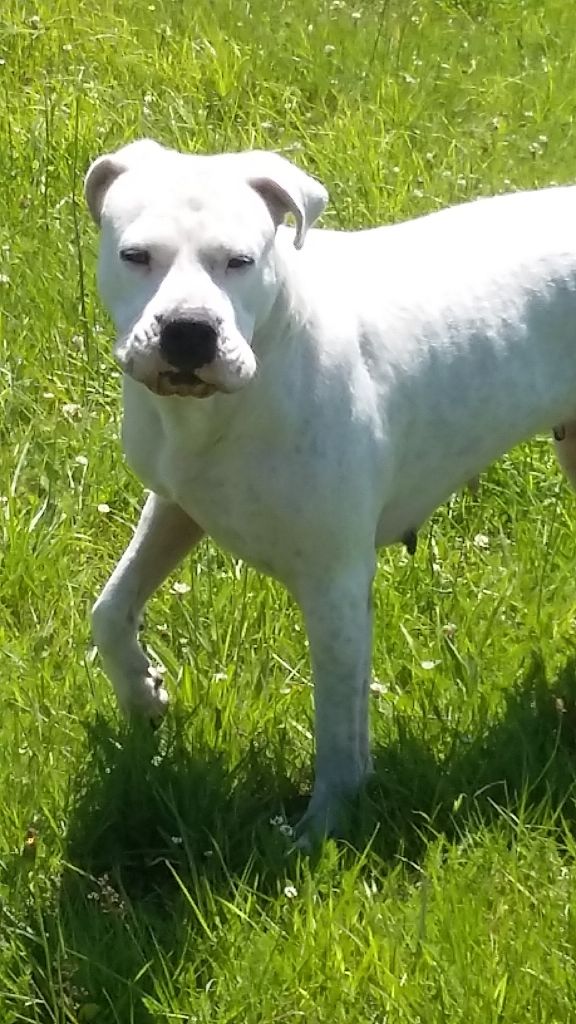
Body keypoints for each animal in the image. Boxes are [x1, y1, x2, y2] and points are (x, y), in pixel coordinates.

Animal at [85, 138, 576, 846]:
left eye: (240, 261)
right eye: (136, 256)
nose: (189, 330)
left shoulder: (335, 583)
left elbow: (339, 726)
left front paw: (323, 830)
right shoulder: (176, 505)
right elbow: (110, 609)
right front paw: (142, 691)